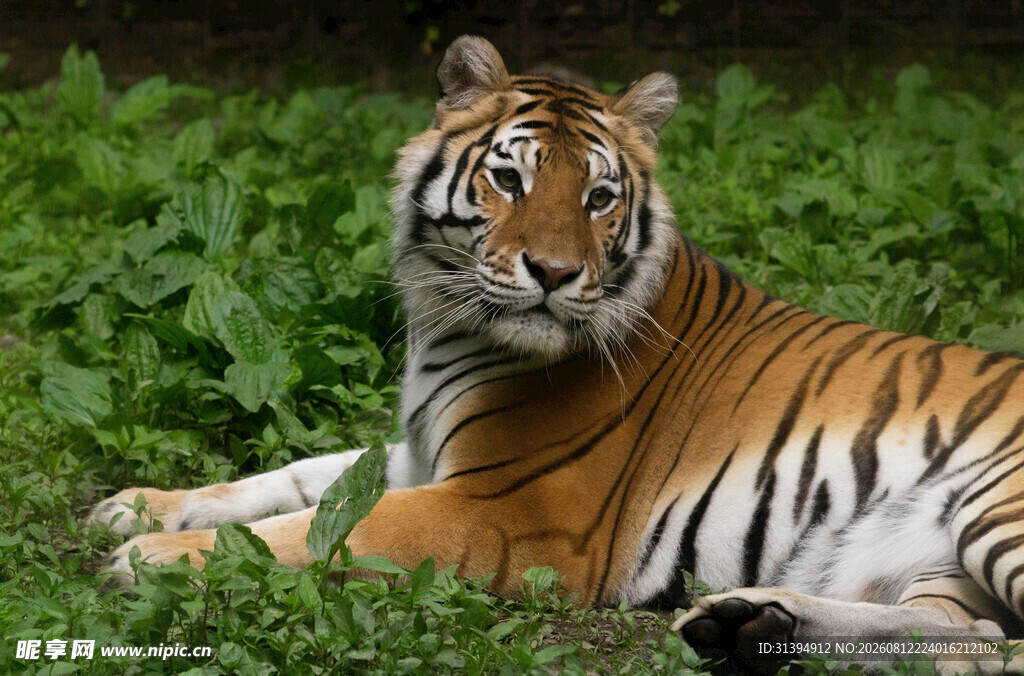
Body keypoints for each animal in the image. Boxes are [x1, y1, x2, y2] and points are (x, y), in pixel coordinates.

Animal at [89, 36, 1024, 673]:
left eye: (599, 197)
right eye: (510, 180)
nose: (553, 272)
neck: (450, 324)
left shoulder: (504, 507)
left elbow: (330, 527)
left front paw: (152, 560)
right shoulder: (422, 452)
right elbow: (293, 480)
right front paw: (137, 508)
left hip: (996, 509)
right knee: (971, 637)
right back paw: (747, 624)